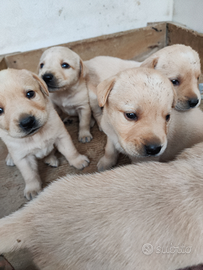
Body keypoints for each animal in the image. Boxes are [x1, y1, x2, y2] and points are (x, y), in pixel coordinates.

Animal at [0, 69, 89, 200]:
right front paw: (32, 188)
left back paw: (51, 159)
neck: (36, 135)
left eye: (30, 94)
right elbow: (30, 175)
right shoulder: (22, 157)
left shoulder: (61, 136)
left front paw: (78, 161)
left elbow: (70, 151)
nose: (27, 122)